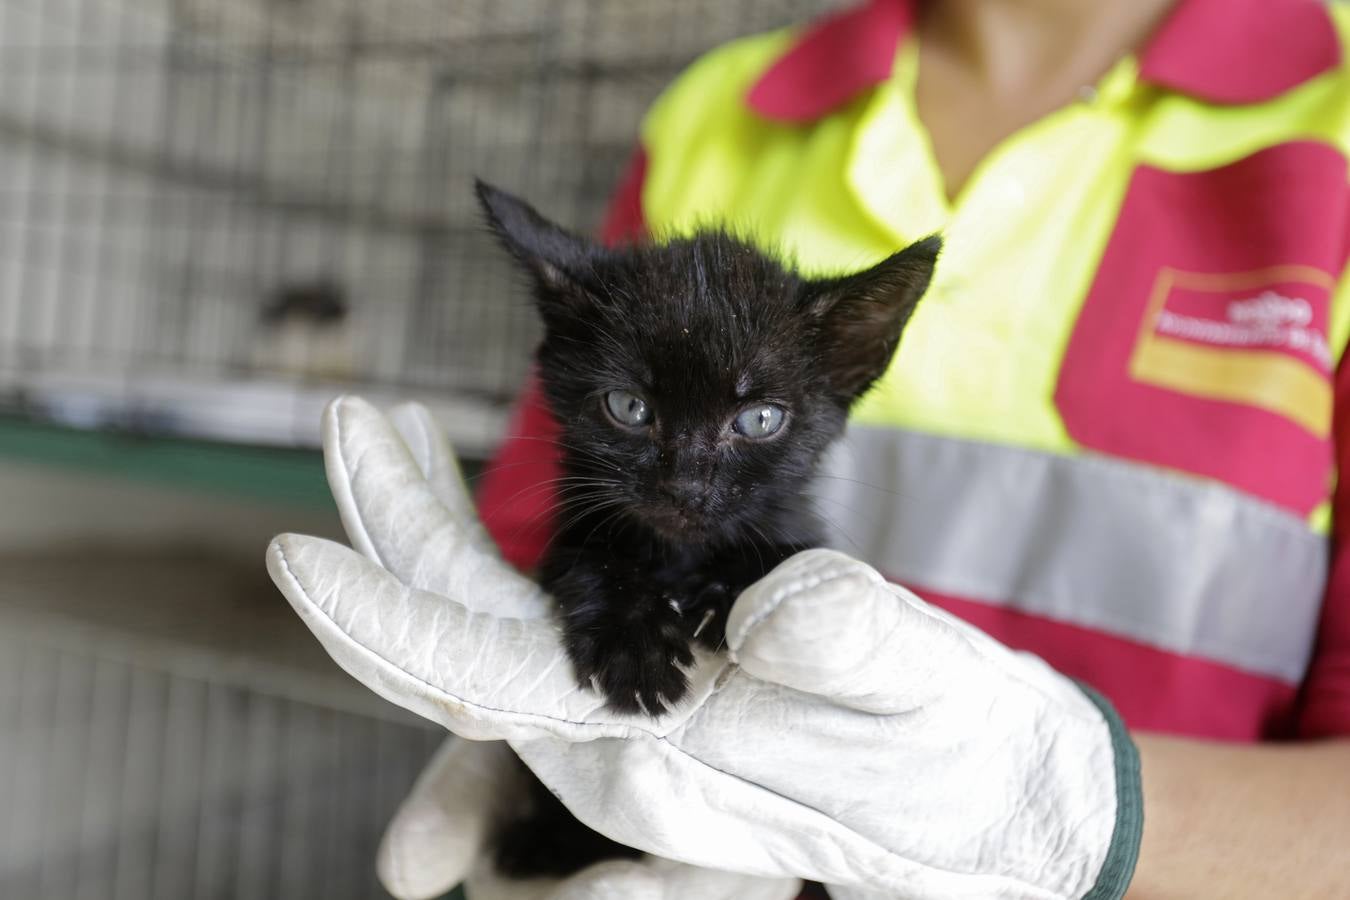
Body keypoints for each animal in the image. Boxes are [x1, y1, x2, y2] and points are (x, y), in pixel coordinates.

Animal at [477, 179, 939, 874]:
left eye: (758, 419)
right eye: (629, 407)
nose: (686, 487)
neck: (681, 557)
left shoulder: (799, 530)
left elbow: (782, 555)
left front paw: (725, 599)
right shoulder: (567, 536)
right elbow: (593, 560)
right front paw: (635, 647)